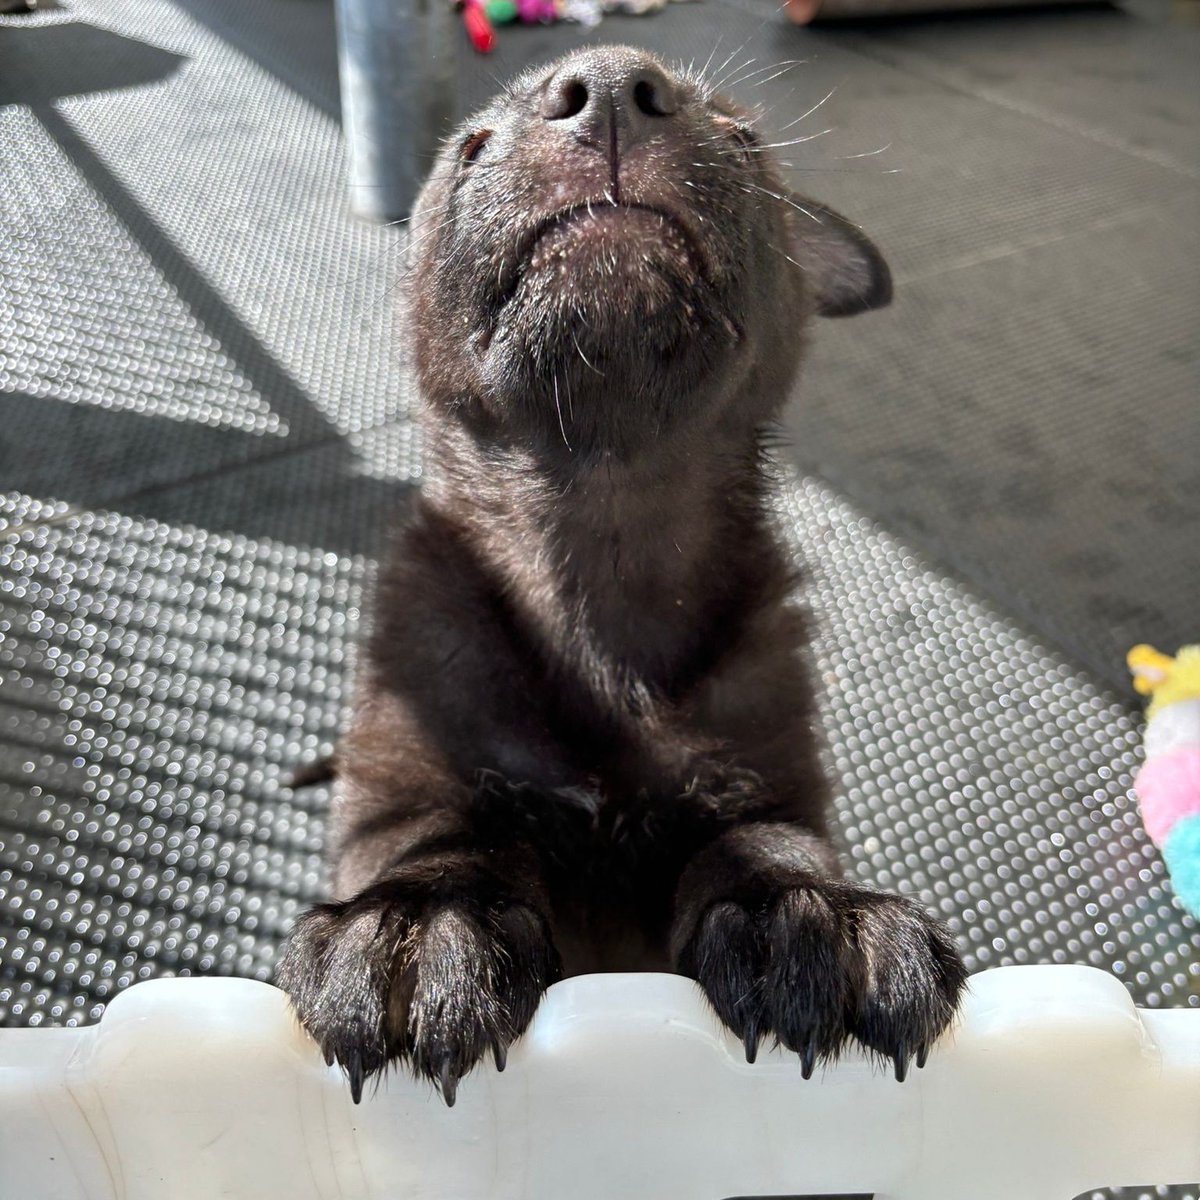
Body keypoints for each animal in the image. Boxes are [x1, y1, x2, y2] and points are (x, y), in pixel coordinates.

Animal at [278, 51, 964, 1108]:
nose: (605, 84)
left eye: (744, 141)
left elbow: (765, 843)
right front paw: (423, 925)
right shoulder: (405, 773)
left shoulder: (765, 782)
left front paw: (812, 913)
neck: (599, 540)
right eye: (468, 148)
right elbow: (439, 839)